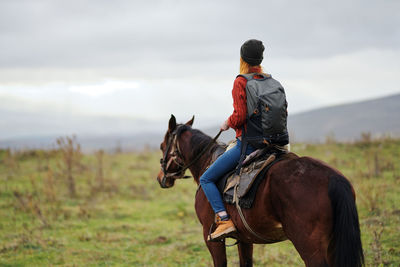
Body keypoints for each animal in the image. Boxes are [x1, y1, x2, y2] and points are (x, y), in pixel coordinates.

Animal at [158, 115, 364, 267]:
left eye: (161, 146)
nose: (161, 178)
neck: (207, 162)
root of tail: (334, 179)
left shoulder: (211, 238)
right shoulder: (245, 238)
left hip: (310, 248)